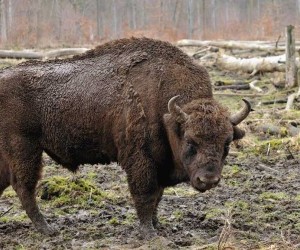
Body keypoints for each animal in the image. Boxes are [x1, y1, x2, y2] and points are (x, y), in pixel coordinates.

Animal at [0, 38, 251, 237]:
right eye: (190, 141)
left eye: (227, 143)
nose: (208, 180)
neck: (167, 113)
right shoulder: (141, 160)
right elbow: (146, 194)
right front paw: (148, 232)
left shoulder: (159, 164)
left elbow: (157, 196)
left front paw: (157, 225)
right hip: (25, 149)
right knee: (24, 186)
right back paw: (47, 229)